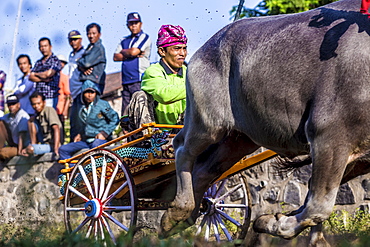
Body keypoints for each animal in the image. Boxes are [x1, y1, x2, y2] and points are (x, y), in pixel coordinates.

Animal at [160, 0, 370, 243]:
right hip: (206, 123)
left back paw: (186, 216)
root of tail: (204, 50)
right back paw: (177, 212)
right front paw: (269, 221)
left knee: (205, 170)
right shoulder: (329, 137)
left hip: (239, 139)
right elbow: (317, 207)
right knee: (182, 148)